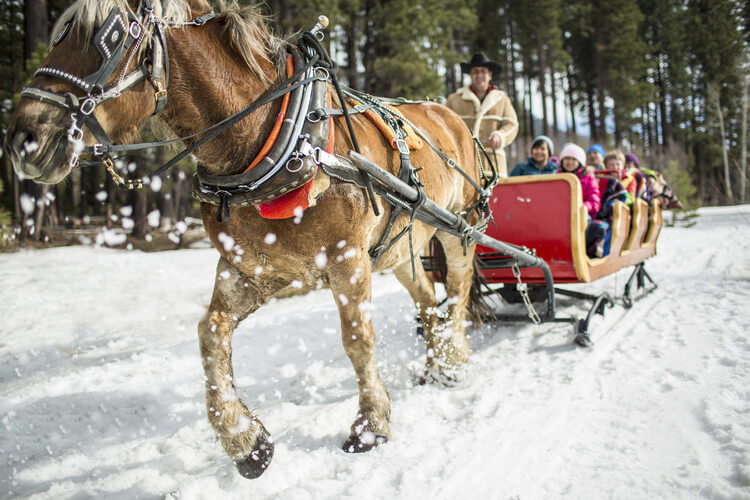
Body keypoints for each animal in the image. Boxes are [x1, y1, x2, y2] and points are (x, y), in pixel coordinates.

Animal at [5, 0, 490, 478]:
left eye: (109, 36)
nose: (23, 139)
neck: (269, 139)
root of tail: (454, 118)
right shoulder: (252, 267)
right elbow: (211, 333)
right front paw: (245, 440)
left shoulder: (347, 259)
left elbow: (357, 339)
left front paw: (370, 425)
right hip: (397, 249)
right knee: (427, 297)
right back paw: (436, 363)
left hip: (460, 227)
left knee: (458, 289)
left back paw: (455, 359)